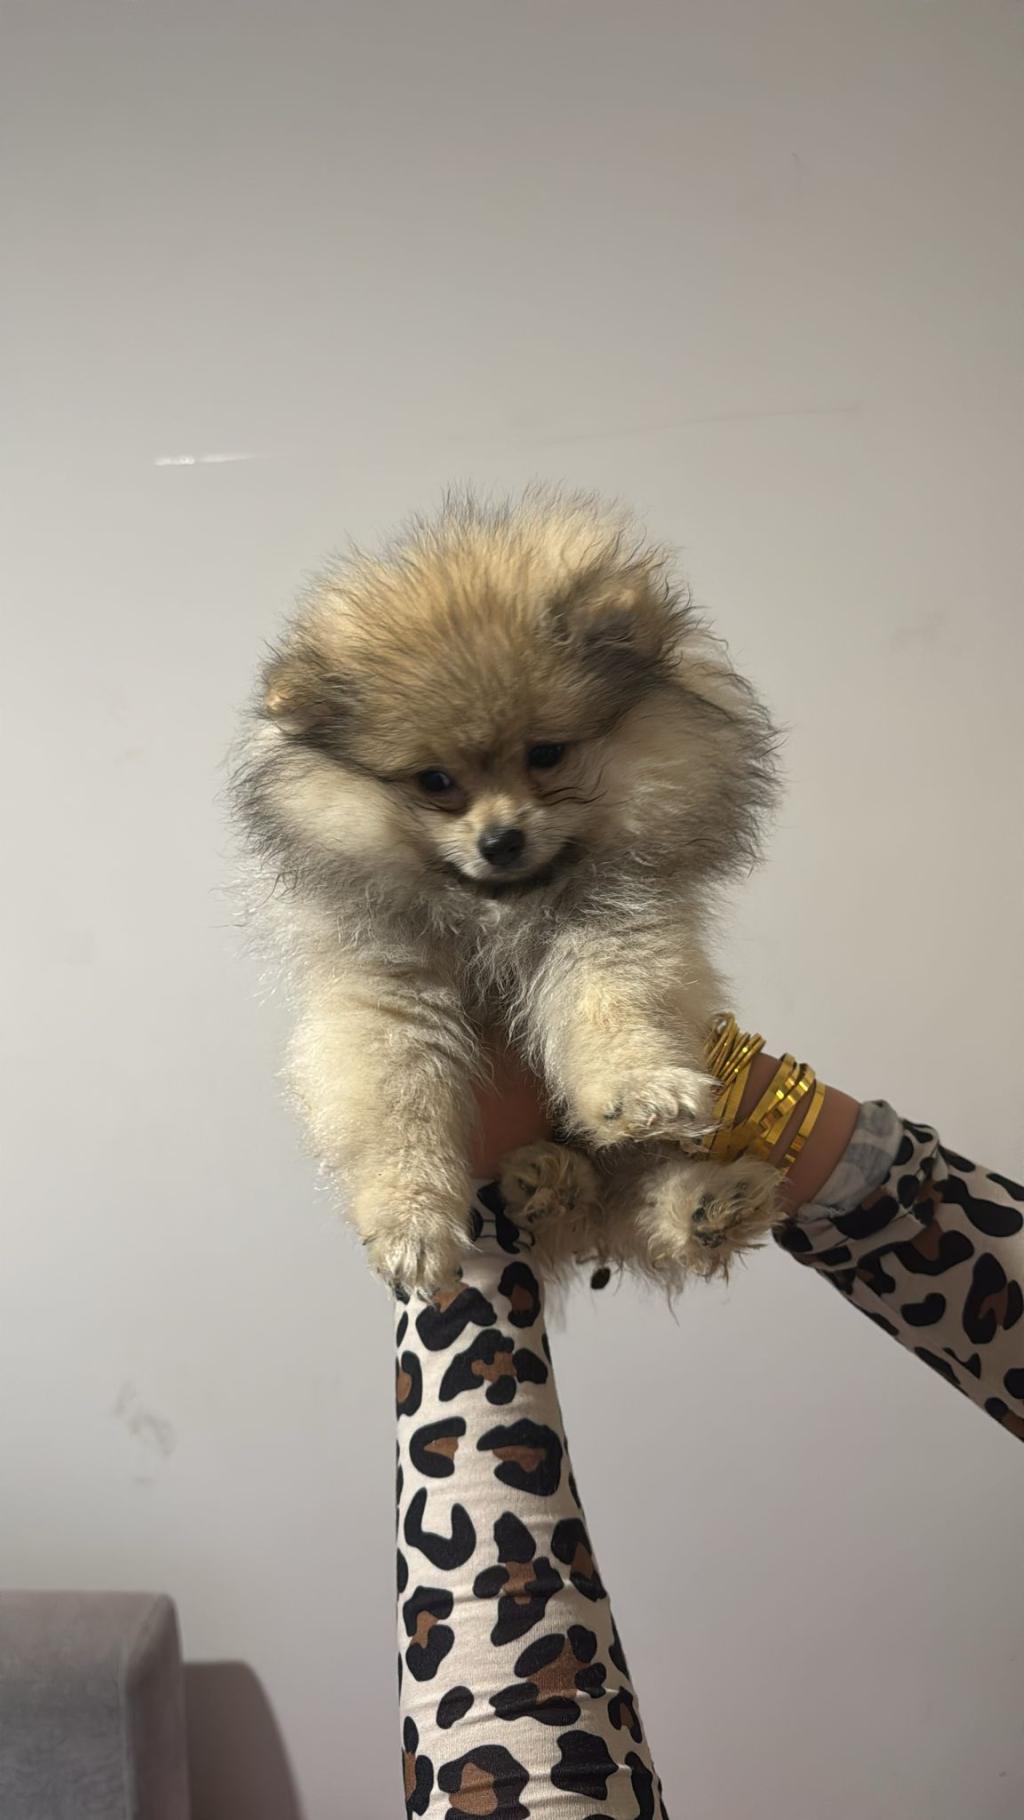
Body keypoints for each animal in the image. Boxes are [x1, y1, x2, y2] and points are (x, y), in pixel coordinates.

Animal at [231, 487, 781, 1293]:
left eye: (546, 754)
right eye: (435, 781)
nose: (501, 840)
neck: (496, 914)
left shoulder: (612, 926)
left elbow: (616, 1004)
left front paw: (642, 1087)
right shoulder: (388, 991)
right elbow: (397, 1104)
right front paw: (410, 1221)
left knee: (642, 1189)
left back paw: (707, 1205)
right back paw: (554, 1184)